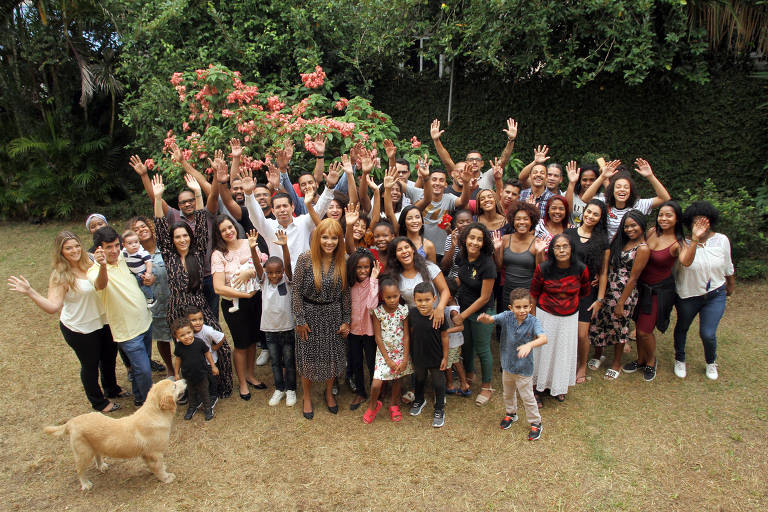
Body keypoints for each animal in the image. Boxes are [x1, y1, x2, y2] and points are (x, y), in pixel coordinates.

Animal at [45, 378, 188, 490]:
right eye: (174, 386)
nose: (185, 380)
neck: (154, 413)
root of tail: (72, 421)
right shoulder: (154, 453)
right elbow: (159, 468)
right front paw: (167, 478)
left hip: (94, 446)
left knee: (97, 456)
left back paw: (101, 466)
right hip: (83, 453)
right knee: (79, 469)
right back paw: (85, 484)